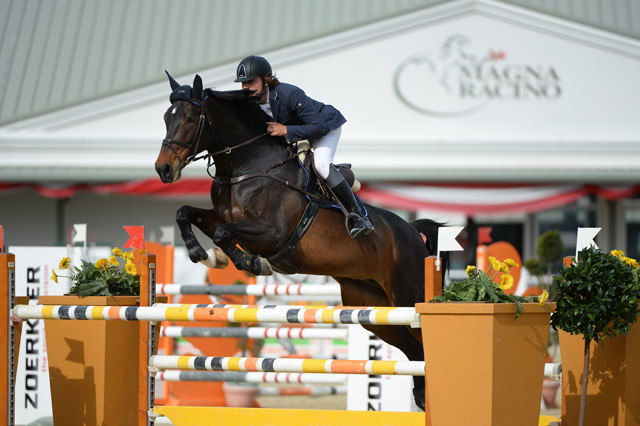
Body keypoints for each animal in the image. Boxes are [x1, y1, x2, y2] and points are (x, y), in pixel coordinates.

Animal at [154, 73, 450, 410]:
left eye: (190, 118)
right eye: (166, 118)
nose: (163, 169)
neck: (246, 167)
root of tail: (412, 232)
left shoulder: (273, 231)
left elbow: (223, 234)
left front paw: (250, 262)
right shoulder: (222, 217)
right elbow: (185, 213)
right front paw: (205, 255)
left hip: (406, 296)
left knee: (421, 342)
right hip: (374, 311)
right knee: (413, 351)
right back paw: (422, 398)